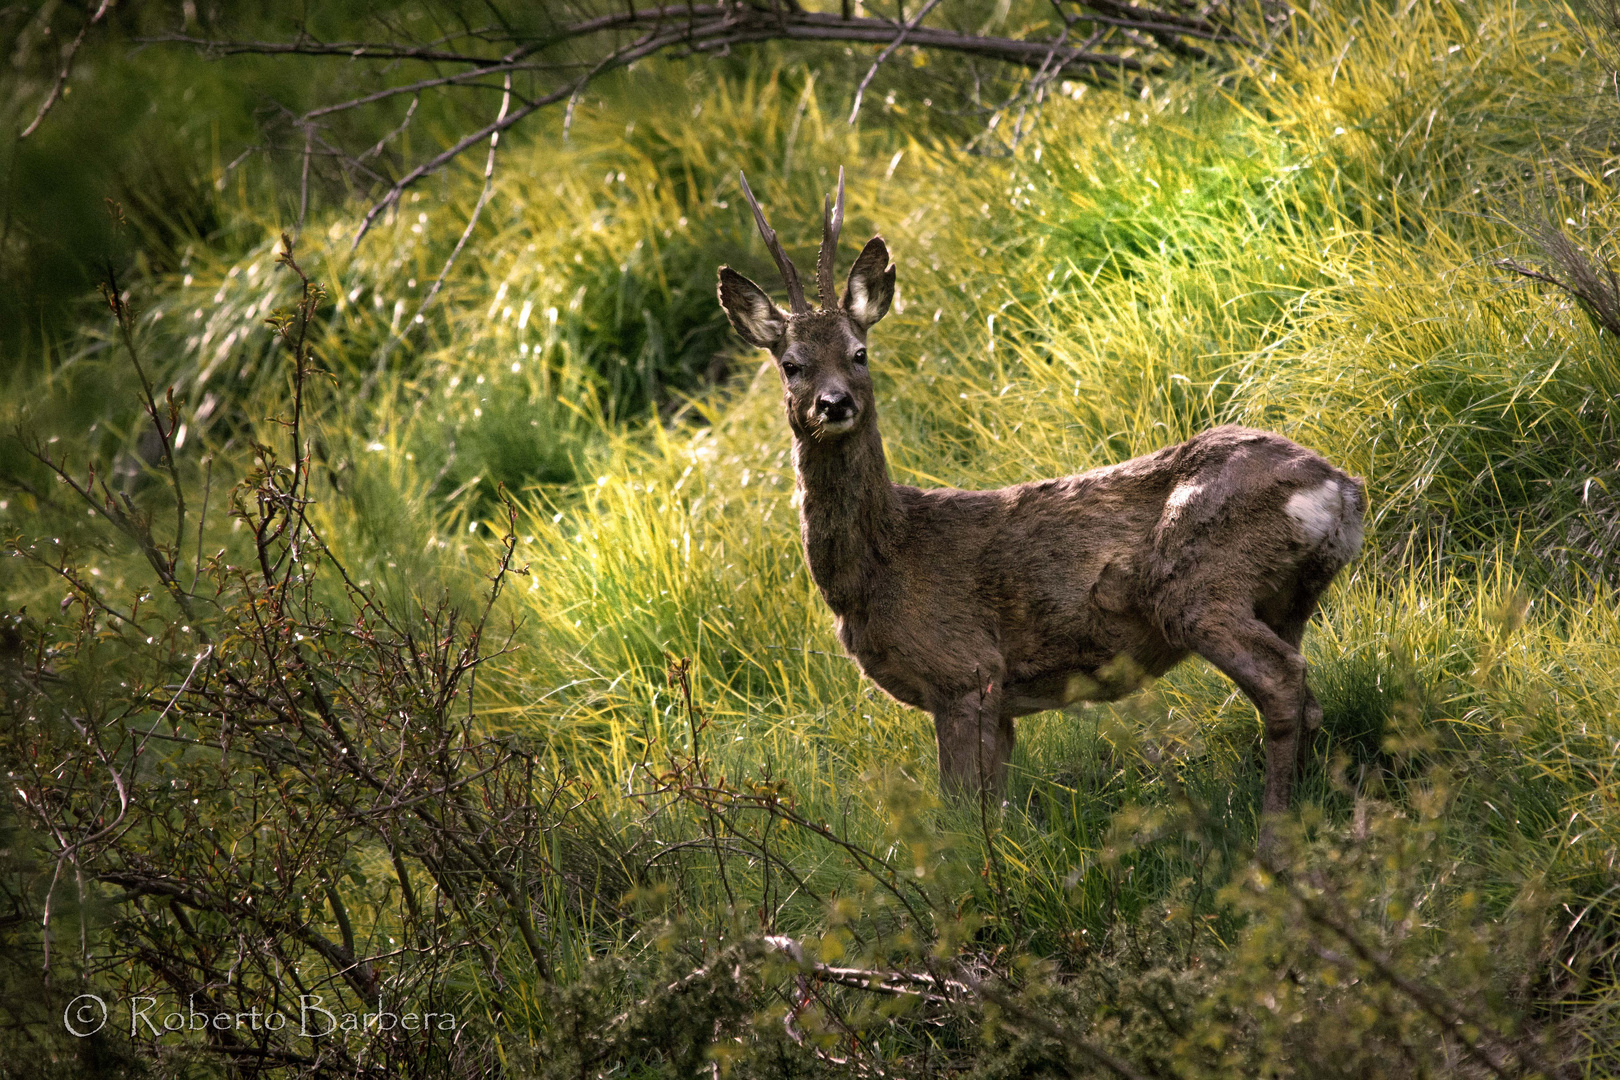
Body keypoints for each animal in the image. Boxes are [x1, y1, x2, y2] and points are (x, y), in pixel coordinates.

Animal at [716, 169, 1360, 816]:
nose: (835, 403)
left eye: (859, 353)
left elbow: (960, 815)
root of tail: (1340, 489)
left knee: (1282, 683)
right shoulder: (997, 701)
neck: (879, 568)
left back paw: (1273, 827)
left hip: (1201, 586)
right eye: (791, 364)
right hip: (1284, 600)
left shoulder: (964, 670)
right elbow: (996, 811)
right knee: (1306, 692)